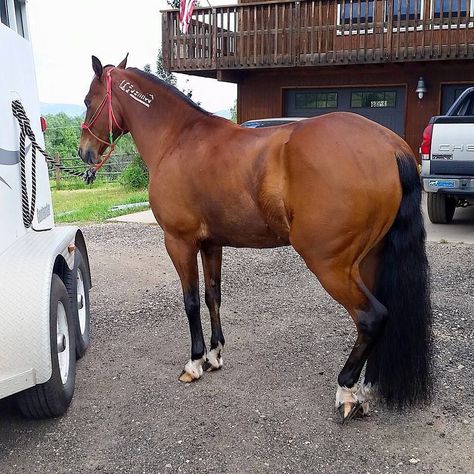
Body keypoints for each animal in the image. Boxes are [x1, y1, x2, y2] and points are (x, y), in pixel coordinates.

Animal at [79, 55, 432, 422]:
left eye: (89, 101)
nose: (84, 152)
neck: (178, 139)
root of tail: (389, 146)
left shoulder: (179, 242)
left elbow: (191, 302)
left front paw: (195, 361)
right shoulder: (211, 243)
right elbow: (213, 296)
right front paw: (215, 355)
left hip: (330, 265)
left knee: (372, 318)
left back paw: (347, 389)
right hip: (370, 260)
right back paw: (368, 388)